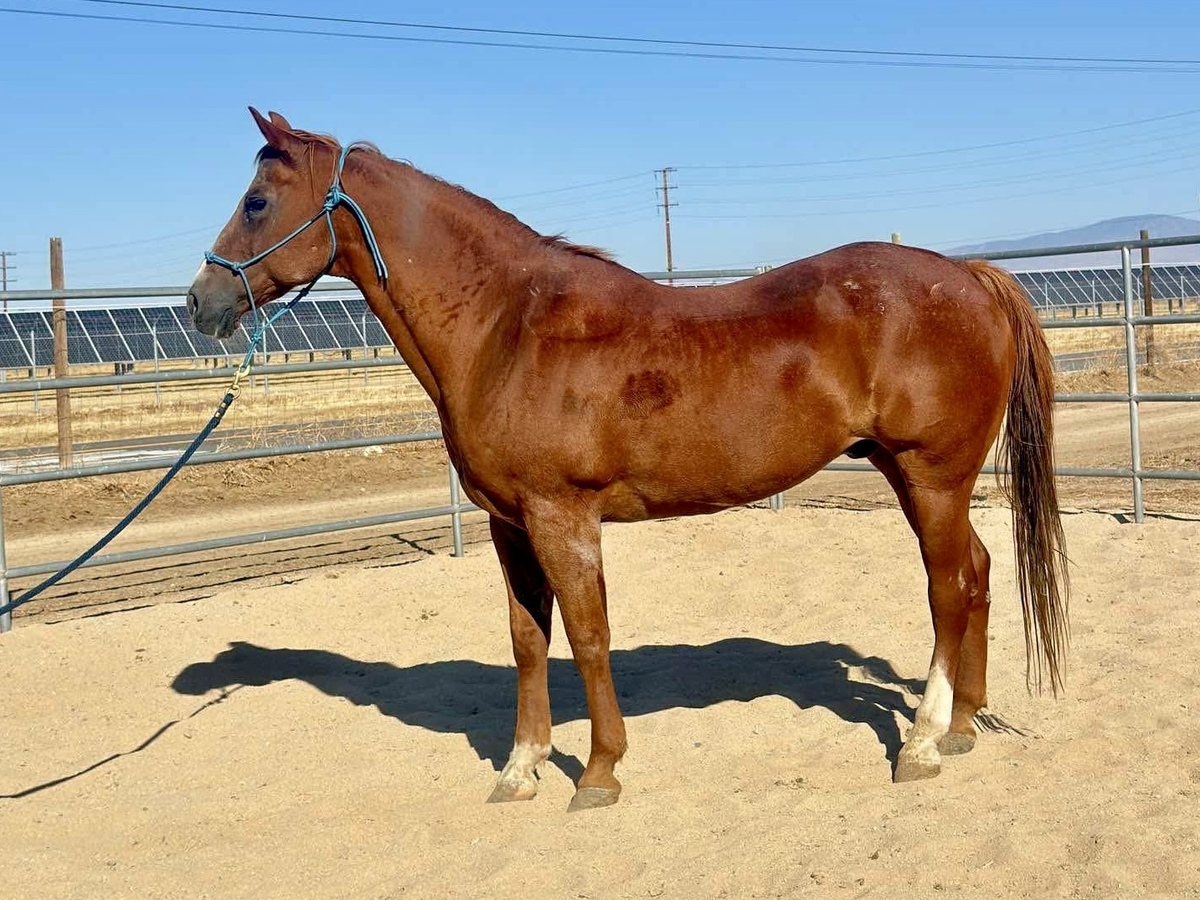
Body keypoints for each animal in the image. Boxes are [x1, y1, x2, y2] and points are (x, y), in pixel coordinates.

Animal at [185, 108, 1069, 811]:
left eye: (257, 201)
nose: (200, 301)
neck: (506, 327)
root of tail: (971, 278)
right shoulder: (509, 525)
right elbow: (528, 640)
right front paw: (520, 769)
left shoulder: (563, 516)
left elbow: (588, 635)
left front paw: (598, 772)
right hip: (910, 474)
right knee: (978, 573)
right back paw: (962, 727)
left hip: (932, 475)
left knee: (948, 590)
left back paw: (920, 743)